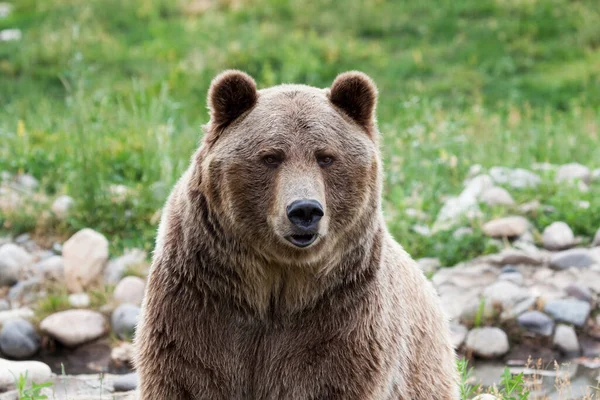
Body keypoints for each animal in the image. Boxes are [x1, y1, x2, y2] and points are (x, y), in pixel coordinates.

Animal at [134, 70, 458, 398]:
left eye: (326, 157)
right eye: (270, 157)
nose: (304, 210)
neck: (278, 281)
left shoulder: (342, 313)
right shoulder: (200, 297)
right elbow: (188, 374)